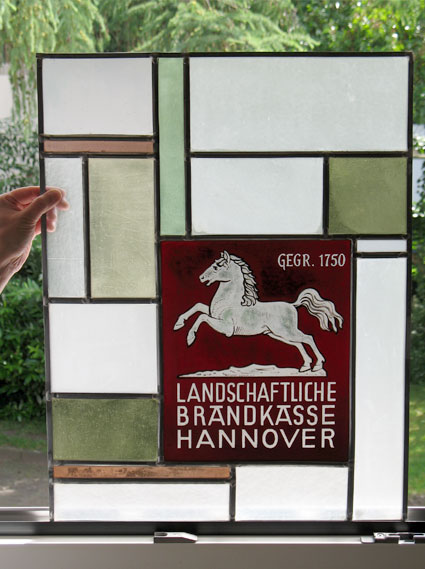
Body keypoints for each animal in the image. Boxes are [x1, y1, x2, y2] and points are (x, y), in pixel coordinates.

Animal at [173, 251, 343, 372]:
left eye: (216, 267)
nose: (201, 277)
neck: (230, 301)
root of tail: (292, 305)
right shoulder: (212, 313)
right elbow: (198, 306)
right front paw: (178, 324)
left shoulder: (227, 328)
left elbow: (202, 316)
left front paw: (189, 339)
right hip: (278, 334)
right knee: (299, 343)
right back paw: (305, 366)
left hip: (285, 332)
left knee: (308, 338)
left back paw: (318, 365)